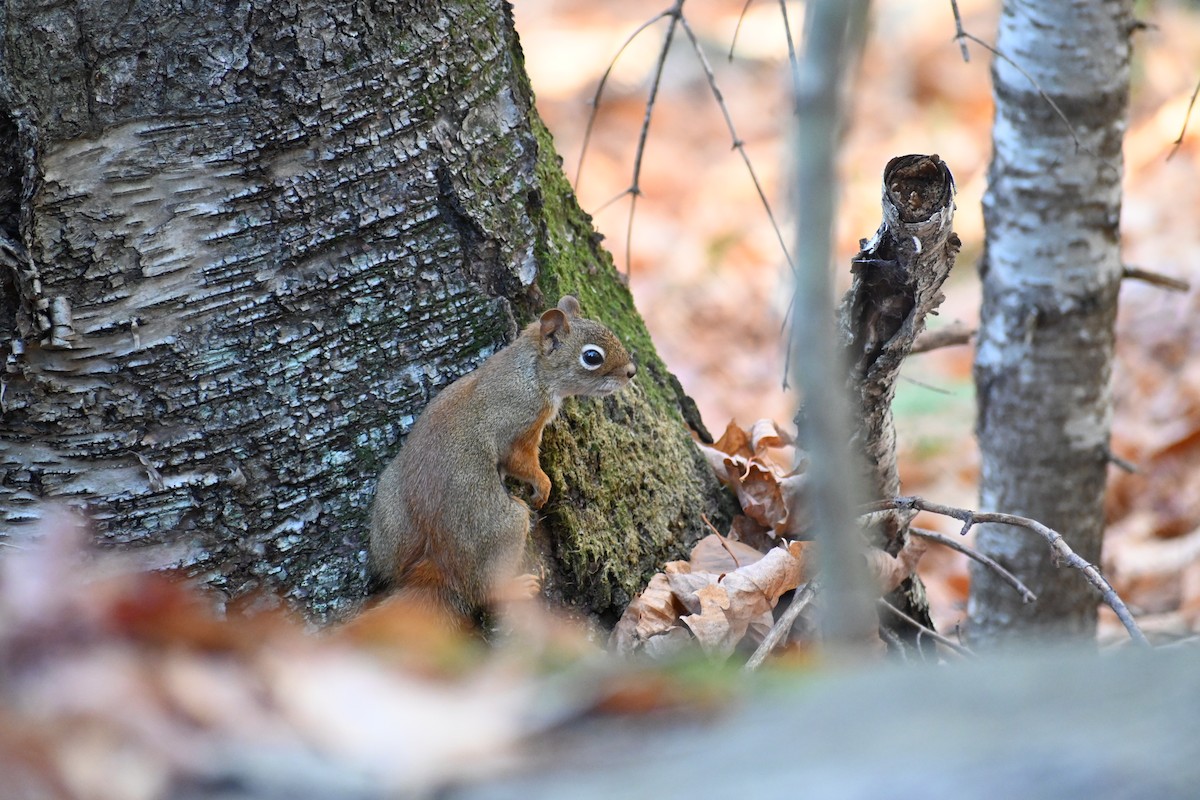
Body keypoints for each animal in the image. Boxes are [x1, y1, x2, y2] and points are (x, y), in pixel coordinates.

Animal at [367, 295, 636, 627]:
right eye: (591, 357)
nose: (631, 371)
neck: (531, 371)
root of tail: (437, 568)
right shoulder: (518, 425)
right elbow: (520, 462)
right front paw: (543, 486)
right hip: (503, 527)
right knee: (484, 591)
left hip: (389, 515)